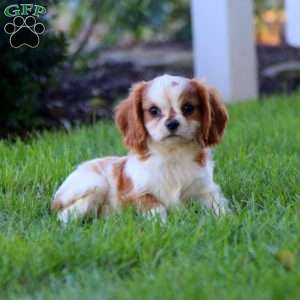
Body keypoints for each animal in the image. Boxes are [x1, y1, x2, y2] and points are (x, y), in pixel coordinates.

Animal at [51, 74, 230, 223]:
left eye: (188, 108)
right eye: (153, 111)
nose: (172, 123)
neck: (172, 154)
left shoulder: (206, 190)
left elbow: (219, 207)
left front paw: (227, 221)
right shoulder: (138, 194)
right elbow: (157, 208)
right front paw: (163, 226)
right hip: (95, 185)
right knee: (65, 215)